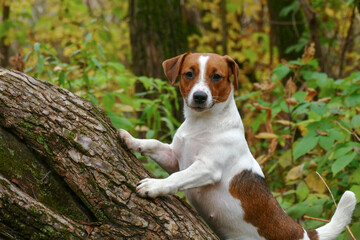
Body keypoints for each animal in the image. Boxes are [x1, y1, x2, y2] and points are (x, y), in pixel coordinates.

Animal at [119, 53, 358, 240]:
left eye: (217, 76)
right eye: (189, 74)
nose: (199, 96)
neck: (201, 123)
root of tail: (302, 232)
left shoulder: (207, 168)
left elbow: (176, 178)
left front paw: (154, 186)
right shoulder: (174, 158)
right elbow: (153, 144)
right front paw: (131, 139)